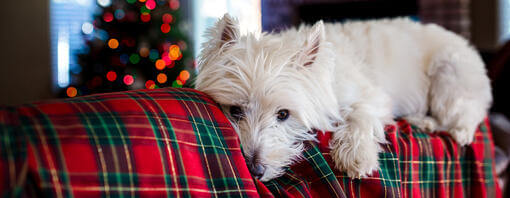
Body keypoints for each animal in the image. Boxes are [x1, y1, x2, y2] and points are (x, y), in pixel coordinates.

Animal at [193, 13, 492, 181]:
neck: (327, 79)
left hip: (449, 74)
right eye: (235, 111)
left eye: (283, 114)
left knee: (465, 119)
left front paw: (357, 157)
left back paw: (437, 124)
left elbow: (360, 116)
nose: (255, 170)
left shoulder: (371, 95)